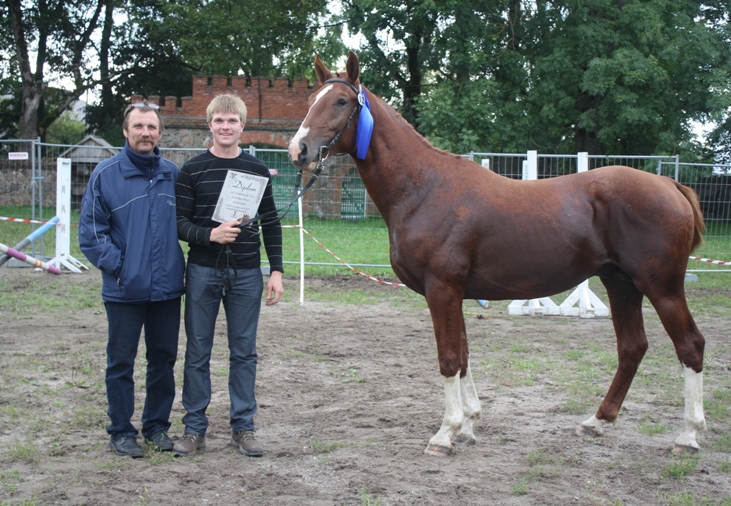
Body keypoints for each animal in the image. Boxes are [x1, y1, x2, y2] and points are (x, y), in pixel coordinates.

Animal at [288, 51, 708, 454]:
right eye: (310, 100)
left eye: (341, 101)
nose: (299, 149)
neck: (423, 188)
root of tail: (670, 184)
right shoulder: (455, 292)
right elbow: (463, 357)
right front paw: (468, 425)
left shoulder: (442, 289)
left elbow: (449, 359)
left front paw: (445, 433)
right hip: (621, 284)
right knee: (632, 348)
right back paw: (598, 421)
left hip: (662, 288)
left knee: (690, 346)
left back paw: (688, 435)